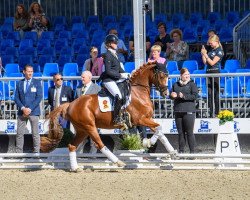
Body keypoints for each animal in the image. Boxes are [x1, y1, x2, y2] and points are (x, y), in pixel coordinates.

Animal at [41, 62, 175, 170]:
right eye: (162, 76)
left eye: (168, 76)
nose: (166, 93)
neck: (138, 92)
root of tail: (71, 104)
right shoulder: (140, 119)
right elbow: (158, 129)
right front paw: (147, 142)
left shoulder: (147, 118)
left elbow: (160, 131)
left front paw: (172, 152)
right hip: (90, 126)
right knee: (99, 144)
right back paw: (118, 162)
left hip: (82, 129)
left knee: (72, 145)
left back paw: (75, 168)